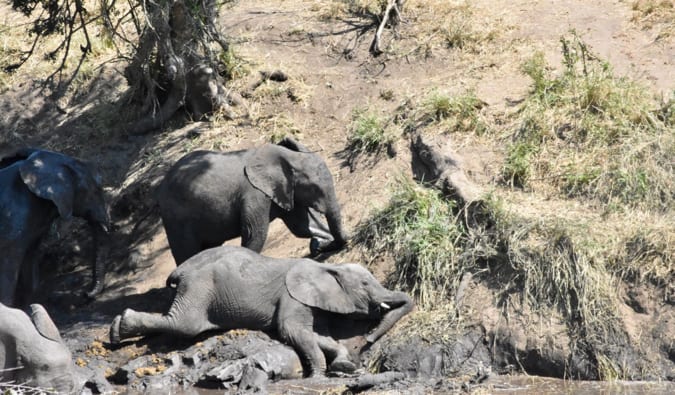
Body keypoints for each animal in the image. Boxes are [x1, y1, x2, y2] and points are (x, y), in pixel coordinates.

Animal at [111, 246, 412, 378]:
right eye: (365, 285)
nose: (369, 340)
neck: (328, 266)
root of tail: (179, 271)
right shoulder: (292, 297)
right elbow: (293, 331)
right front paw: (317, 375)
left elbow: (321, 336)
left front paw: (344, 365)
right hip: (200, 286)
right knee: (184, 324)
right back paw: (119, 327)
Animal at [158, 137, 348, 266]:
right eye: (314, 189)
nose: (320, 247)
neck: (289, 157)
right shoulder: (254, 193)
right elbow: (254, 232)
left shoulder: (286, 190)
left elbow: (301, 226)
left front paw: (321, 243)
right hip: (175, 218)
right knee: (187, 253)